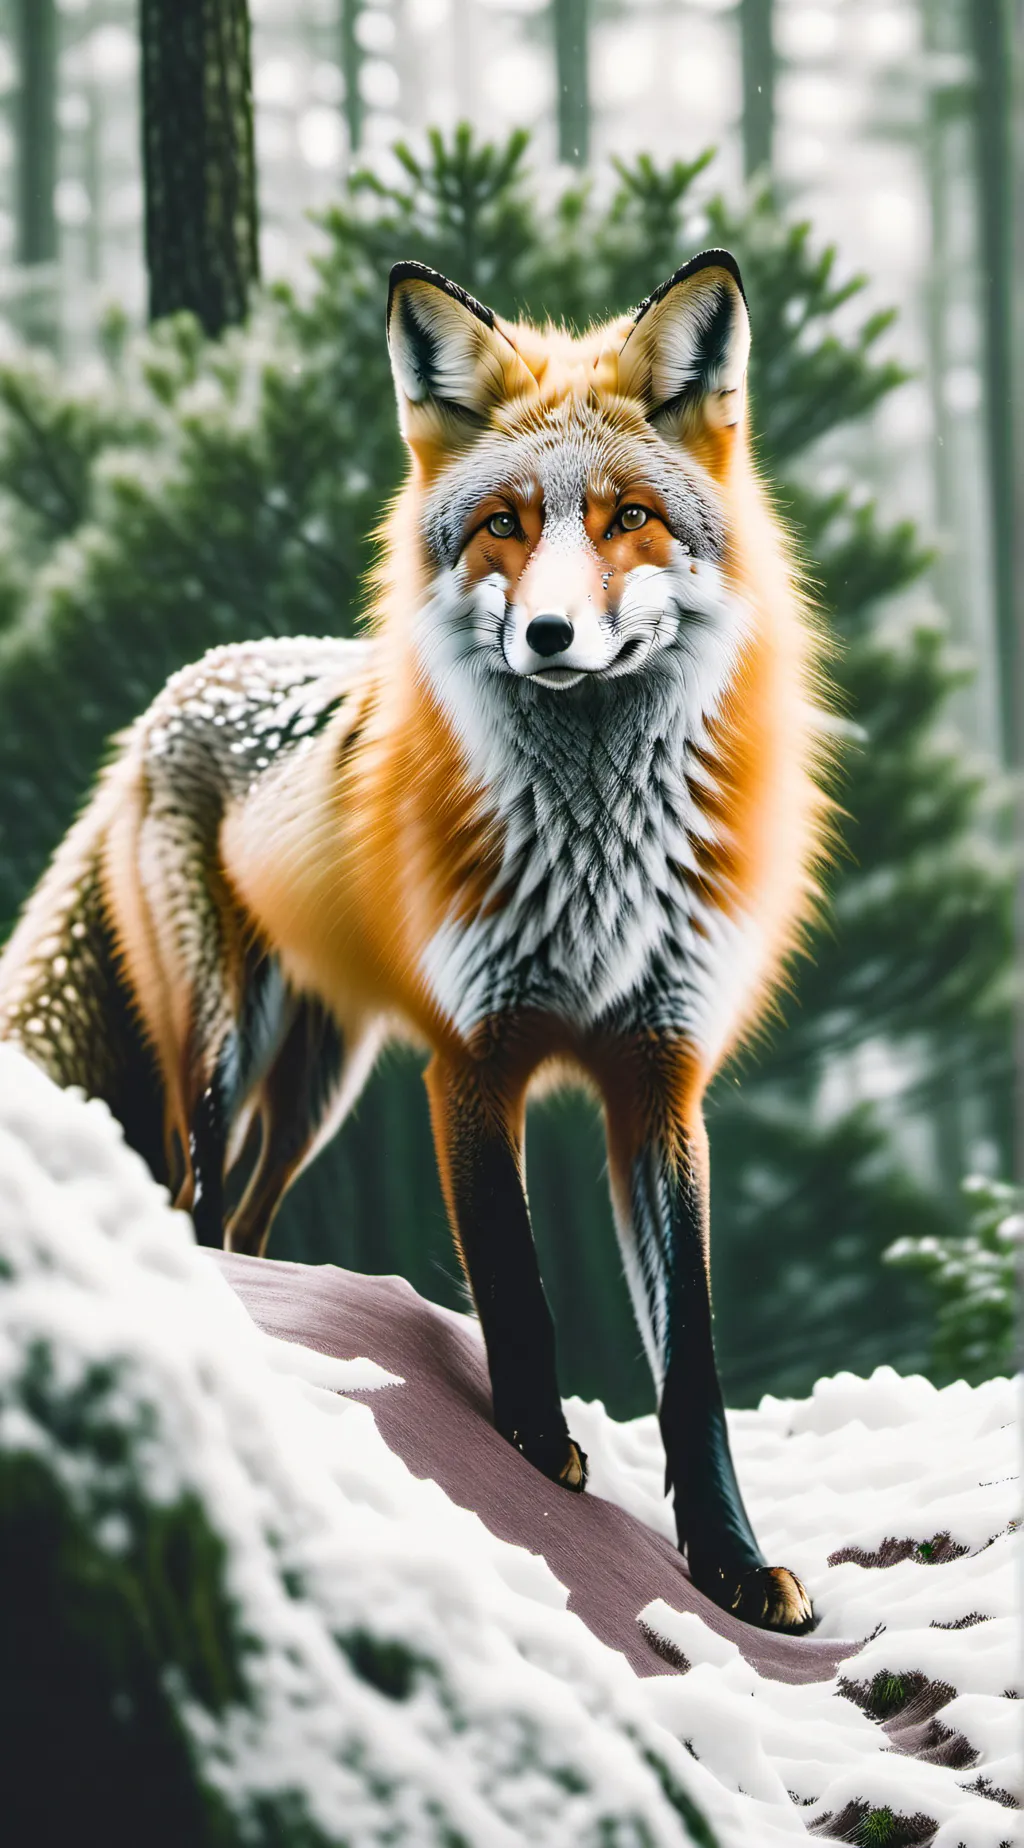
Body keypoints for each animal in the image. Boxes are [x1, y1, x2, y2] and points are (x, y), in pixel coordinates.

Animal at [0, 251, 829, 1632]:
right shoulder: (473, 1057)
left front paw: (728, 1562)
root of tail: (175, 689)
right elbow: (517, 1285)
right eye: (502, 524)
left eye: (626, 517)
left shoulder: (659, 1077)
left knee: (245, 1224)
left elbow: (694, 1365)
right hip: (225, 1054)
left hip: (319, 1086)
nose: (548, 636)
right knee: (194, 1204)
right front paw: (536, 1451)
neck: (595, 855)